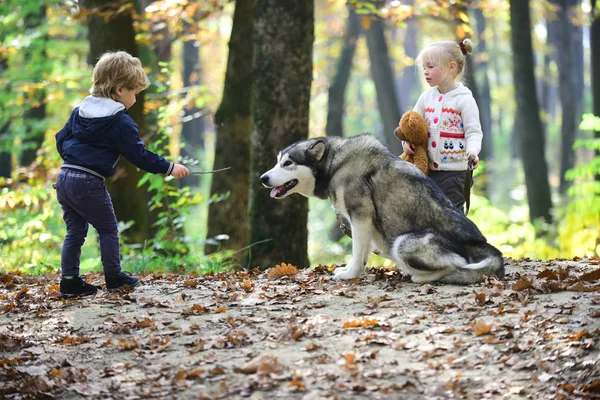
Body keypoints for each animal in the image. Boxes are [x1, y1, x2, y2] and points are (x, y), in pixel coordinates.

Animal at [260, 134, 504, 284]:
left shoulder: (360, 214)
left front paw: (350, 274)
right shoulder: (364, 223)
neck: (334, 164)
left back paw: (423, 277)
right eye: (278, 161)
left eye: (288, 163)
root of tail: (480, 244)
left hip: (403, 243)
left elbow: (356, 250)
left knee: (457, 265)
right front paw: (356, 271)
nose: (263, 178)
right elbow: (362, 252)